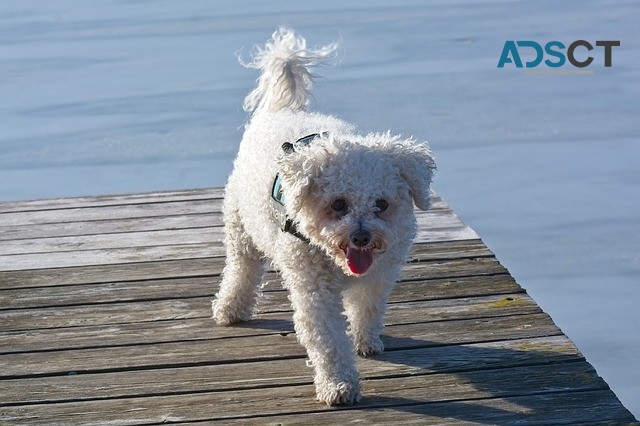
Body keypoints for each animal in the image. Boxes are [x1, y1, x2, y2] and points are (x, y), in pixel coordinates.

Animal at [212, 26, 438, 406]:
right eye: (338, 204)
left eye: (381, 204)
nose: (361, 237)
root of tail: (284, 109)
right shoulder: (315, 292)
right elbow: (329, 341)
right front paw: (339, 385)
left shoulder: (379, 275)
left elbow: (368, 309)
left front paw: (366, 342)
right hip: (241, 228)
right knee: (242, 268)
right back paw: (231, 308)